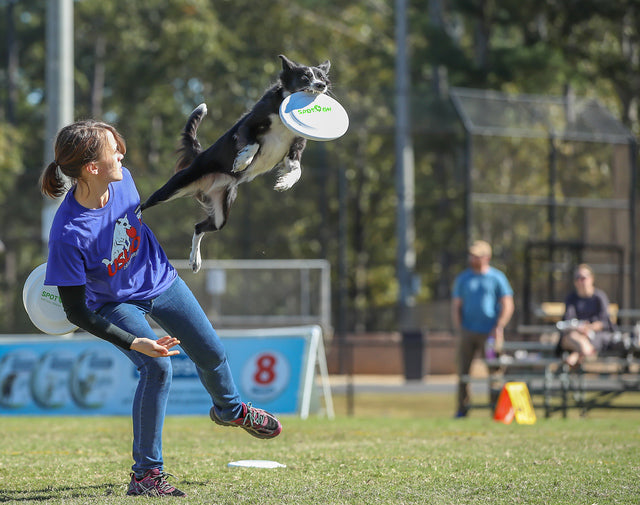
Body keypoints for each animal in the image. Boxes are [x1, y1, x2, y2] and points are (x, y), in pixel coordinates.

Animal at [139, 54, 330, 272]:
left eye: (323, 77)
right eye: (305, 77)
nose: (322, 85)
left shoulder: (294, 149)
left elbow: (297, 171)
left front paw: (284, 183)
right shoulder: (247, 126)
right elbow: (254, 143)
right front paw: (242, 161)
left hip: (221, 211)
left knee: (199, 227)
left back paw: (195, 260)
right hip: (175, 185)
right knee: (144, 204)